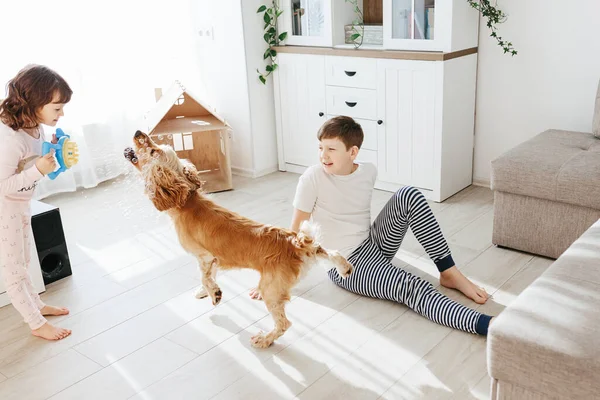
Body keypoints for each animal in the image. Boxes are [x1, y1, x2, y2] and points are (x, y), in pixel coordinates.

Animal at [123, 130, 354, 346]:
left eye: (153, 151)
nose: (138, 132)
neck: (187, 201)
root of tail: (295, 243)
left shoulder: (204, 256)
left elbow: (204, 276)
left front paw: (214, 294)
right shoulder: (213, 259)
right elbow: (210, 274)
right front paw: (204, 292)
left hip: (270, 290)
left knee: (284, 323)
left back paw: (264, 340)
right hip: (307, 254)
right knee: (328, 250)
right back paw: (345, 267)